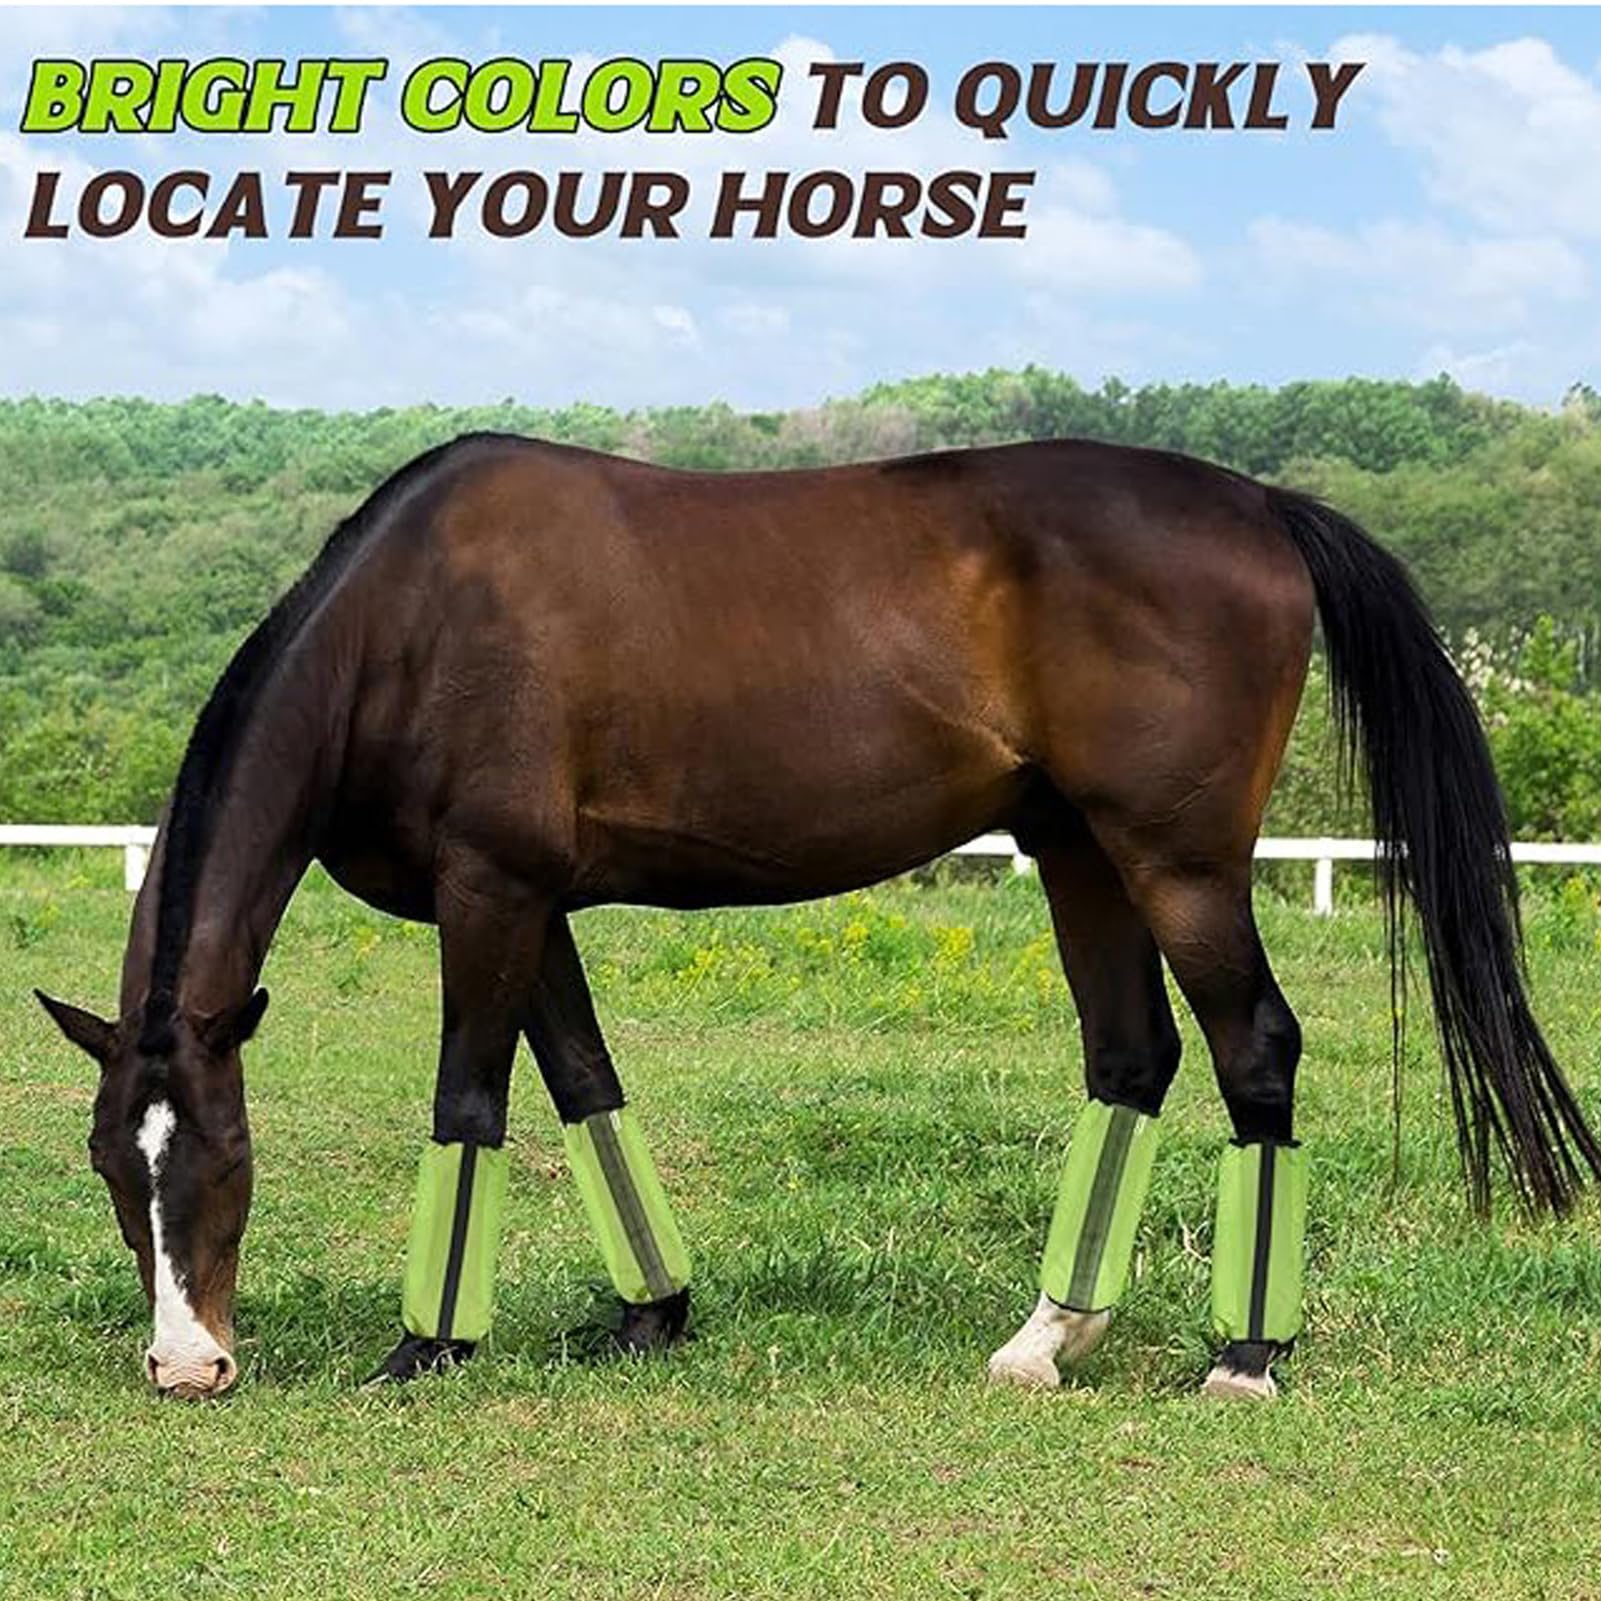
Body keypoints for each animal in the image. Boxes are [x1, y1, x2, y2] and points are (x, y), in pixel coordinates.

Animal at [37, 433, 1600, 1402]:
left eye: (231, 1157)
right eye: (115, 1164)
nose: (188, 1365)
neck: (410, 621)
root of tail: (1261, 503)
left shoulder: (488, 892)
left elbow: (469, 1103)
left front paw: (427, 1347)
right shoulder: (530, 902)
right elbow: (586, 1084)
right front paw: (650, 1315)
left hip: (1181, 863)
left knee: (1253, 1050)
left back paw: (1243, 1356)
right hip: (1078, 851)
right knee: (1131, 1057)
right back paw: (1046, 1339)